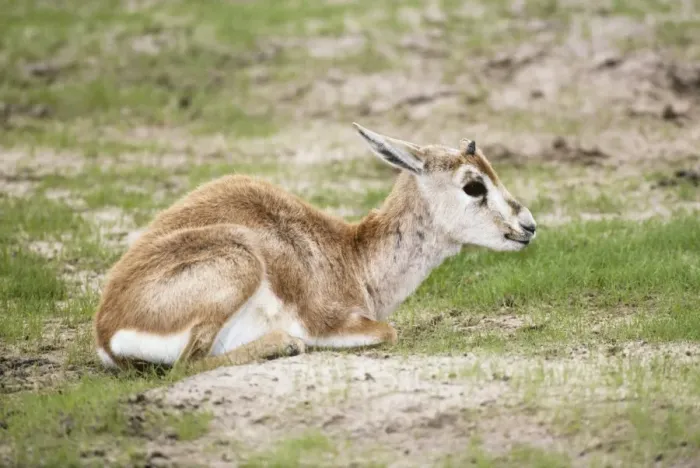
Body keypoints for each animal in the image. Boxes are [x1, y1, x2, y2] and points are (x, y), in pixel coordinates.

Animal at [94, 123, 536, 370]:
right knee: (187, 366)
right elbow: (388, 331)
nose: (528, 226)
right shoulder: (332, 321)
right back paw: (285, 344)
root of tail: (106, 329)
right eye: (473, 185)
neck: (353, 257)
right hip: (239, 261)